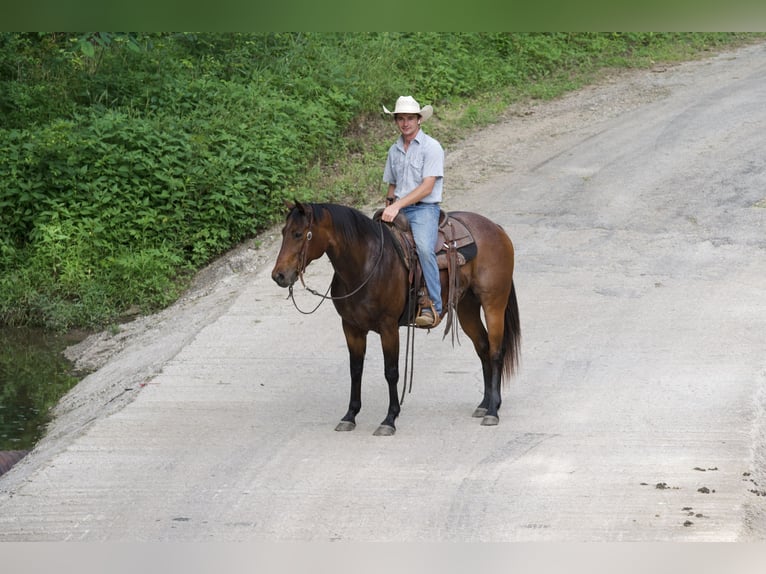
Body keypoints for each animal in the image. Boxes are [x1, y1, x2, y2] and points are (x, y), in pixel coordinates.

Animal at [271, 201, 520, 436]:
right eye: (283, 232)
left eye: (298, 234)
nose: (279, 276)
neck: (365, 264)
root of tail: (496, 228)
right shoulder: (351, 327)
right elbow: (355, 369)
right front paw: (350, 415)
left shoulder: (388, 327)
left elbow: (391, 372)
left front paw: (389, 419)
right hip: (467, 307)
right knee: (483, 347)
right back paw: (485, 404)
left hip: (493, 304)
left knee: (496, 351)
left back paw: (493, 411)